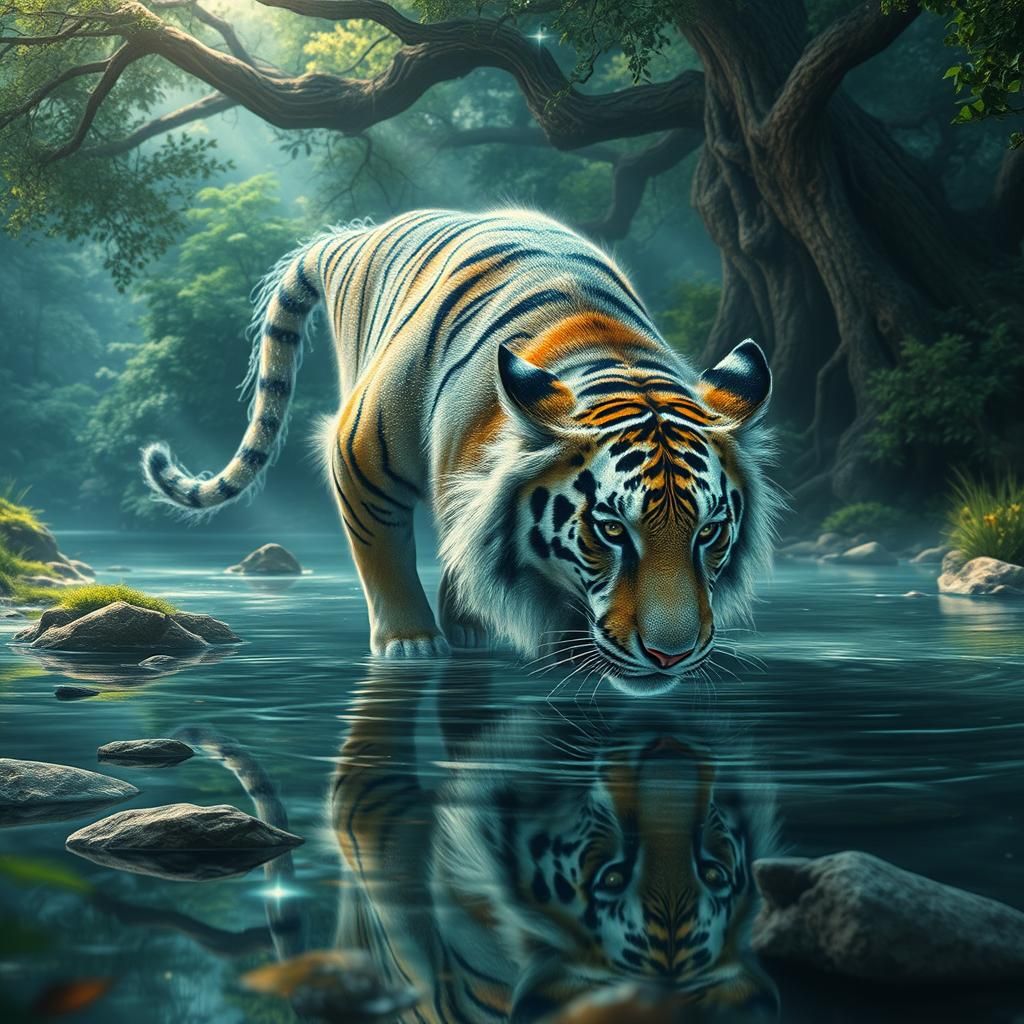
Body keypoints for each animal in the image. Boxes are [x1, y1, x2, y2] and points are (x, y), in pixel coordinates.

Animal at [141, 209, 780, 694]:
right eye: (612, 531)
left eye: (708, 532)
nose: (671, 656)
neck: (609, 355)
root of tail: (360, 235)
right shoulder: (359, 461)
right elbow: (384, 556)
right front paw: (410, 643)